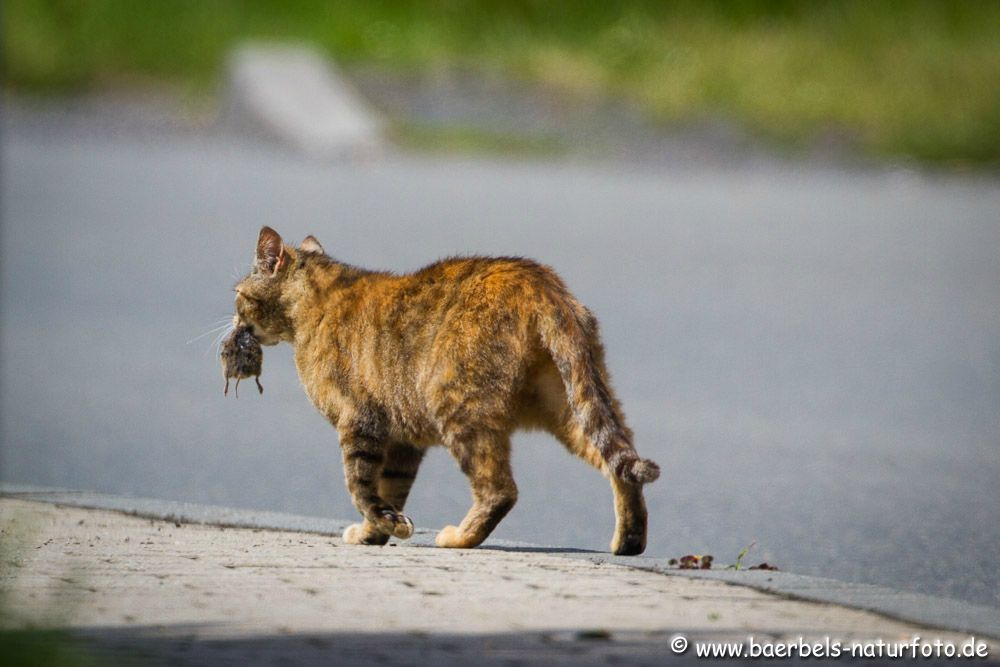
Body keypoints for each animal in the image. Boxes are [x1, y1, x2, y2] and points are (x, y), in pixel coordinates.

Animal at [230, 227, 660, 556]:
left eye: (237, 294)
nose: (233, 320)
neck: (316, 299)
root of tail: (539, 280)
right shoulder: (401, 439)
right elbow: (390, 488)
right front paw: (377, 533)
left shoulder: (360, 422)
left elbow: (361, 487)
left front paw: (384, 525)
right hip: (571, 407)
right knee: (622, 467)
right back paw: (629, 542)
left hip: (458, 408)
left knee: (501, 490)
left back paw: (459, 538)